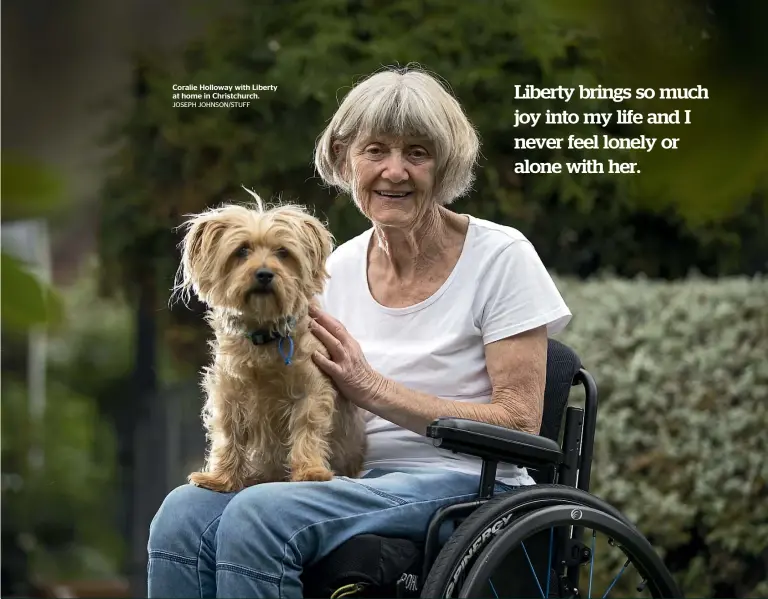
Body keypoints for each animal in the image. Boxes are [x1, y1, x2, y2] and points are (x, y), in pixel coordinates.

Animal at [174, 197, 366, 492]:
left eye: (283, 252)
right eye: (242, 250)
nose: (264, 273)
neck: (263, 335)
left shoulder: (311, 390)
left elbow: (307, 427)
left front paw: (310, 471)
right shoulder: (229, 393)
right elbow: (228, 434)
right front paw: (220, 478)